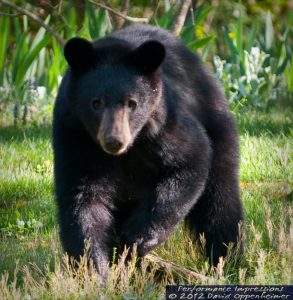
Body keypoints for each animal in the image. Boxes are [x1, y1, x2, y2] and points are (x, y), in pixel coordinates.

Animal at [52, 24, 242, 280]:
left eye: (132, 103)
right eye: (96, 102)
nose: (114, 141)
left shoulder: (162, 124)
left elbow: (189, 160)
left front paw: (138, 236)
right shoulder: (74, 136)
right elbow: (82, 200)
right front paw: (95, 272)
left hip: (214, 119)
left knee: (220, 201)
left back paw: (229, 260)